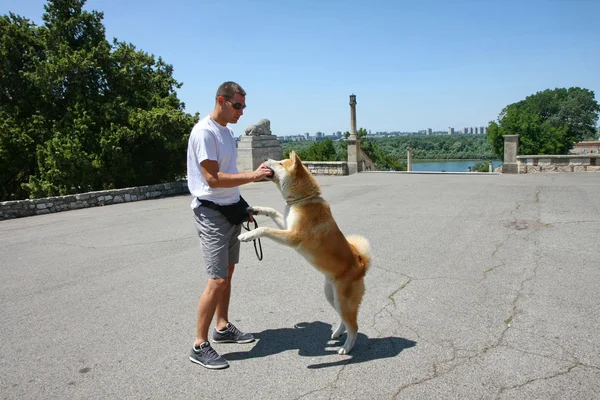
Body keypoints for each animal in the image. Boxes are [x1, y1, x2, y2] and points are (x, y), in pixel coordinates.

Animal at [236, 151, 370, 354]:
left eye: (280, 163)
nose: (265, 158)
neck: (302, 200)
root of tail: (361, 265)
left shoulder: (293, 237)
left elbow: (264, 229)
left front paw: (248, 234)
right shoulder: (286, 226)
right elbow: (272, 211)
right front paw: (255, 209)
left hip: (343, 300)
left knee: (354, 326)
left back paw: (346, 348)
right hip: (332, 296)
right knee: (345, 320)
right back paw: (338, 333)